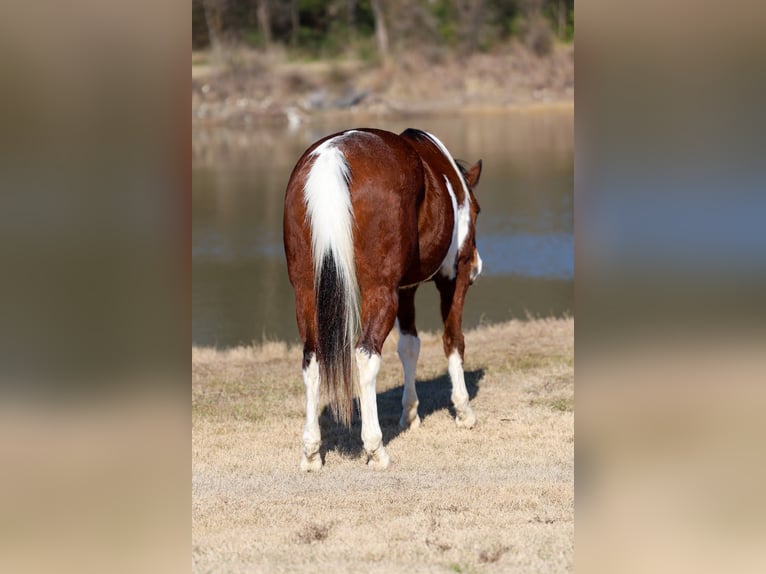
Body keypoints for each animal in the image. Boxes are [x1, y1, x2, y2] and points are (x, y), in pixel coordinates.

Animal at [283, 128, 482, 471]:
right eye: (478, 211)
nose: (479, 268)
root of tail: (332, 156)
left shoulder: (405, 288)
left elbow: (409, 346)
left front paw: (411, 413)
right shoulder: (453, 277)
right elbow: (453, 341)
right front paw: (463, 411)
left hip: (306, 293)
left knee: (312, 360)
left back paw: (310, 453)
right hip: (381, 293)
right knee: (366, 355)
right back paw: (376, 449)